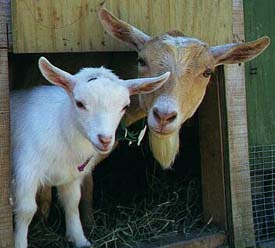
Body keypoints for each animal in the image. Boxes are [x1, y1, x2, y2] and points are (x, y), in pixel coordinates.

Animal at [11, 57, 170, 247]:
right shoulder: (26, 170)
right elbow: (26, 210)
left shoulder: (71, 174)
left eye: (125, 106)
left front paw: (80, 239)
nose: (105, 139)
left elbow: (72, 203)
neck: (61, 126)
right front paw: (19, 242)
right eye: (79, 103)